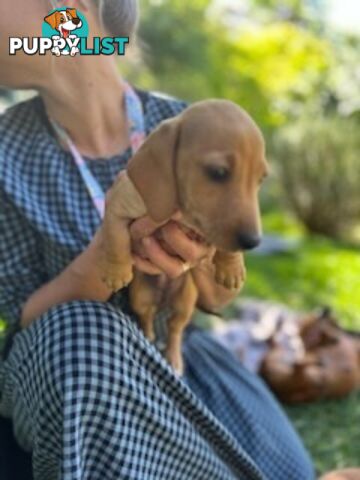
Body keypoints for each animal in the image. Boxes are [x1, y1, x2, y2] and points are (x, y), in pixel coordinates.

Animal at [100, 98, 268, 376]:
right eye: (218, 172)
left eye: (260, 180)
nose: (253, 242)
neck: (182, 212)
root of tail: (163, 298)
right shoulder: (117, 205)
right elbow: (114, 239)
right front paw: (115, 271)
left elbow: (225, 241)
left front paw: (231, 268)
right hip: (140, 296)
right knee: (147, 319)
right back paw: (150, 337)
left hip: (185, 301)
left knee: (175, 329)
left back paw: (175, 358)